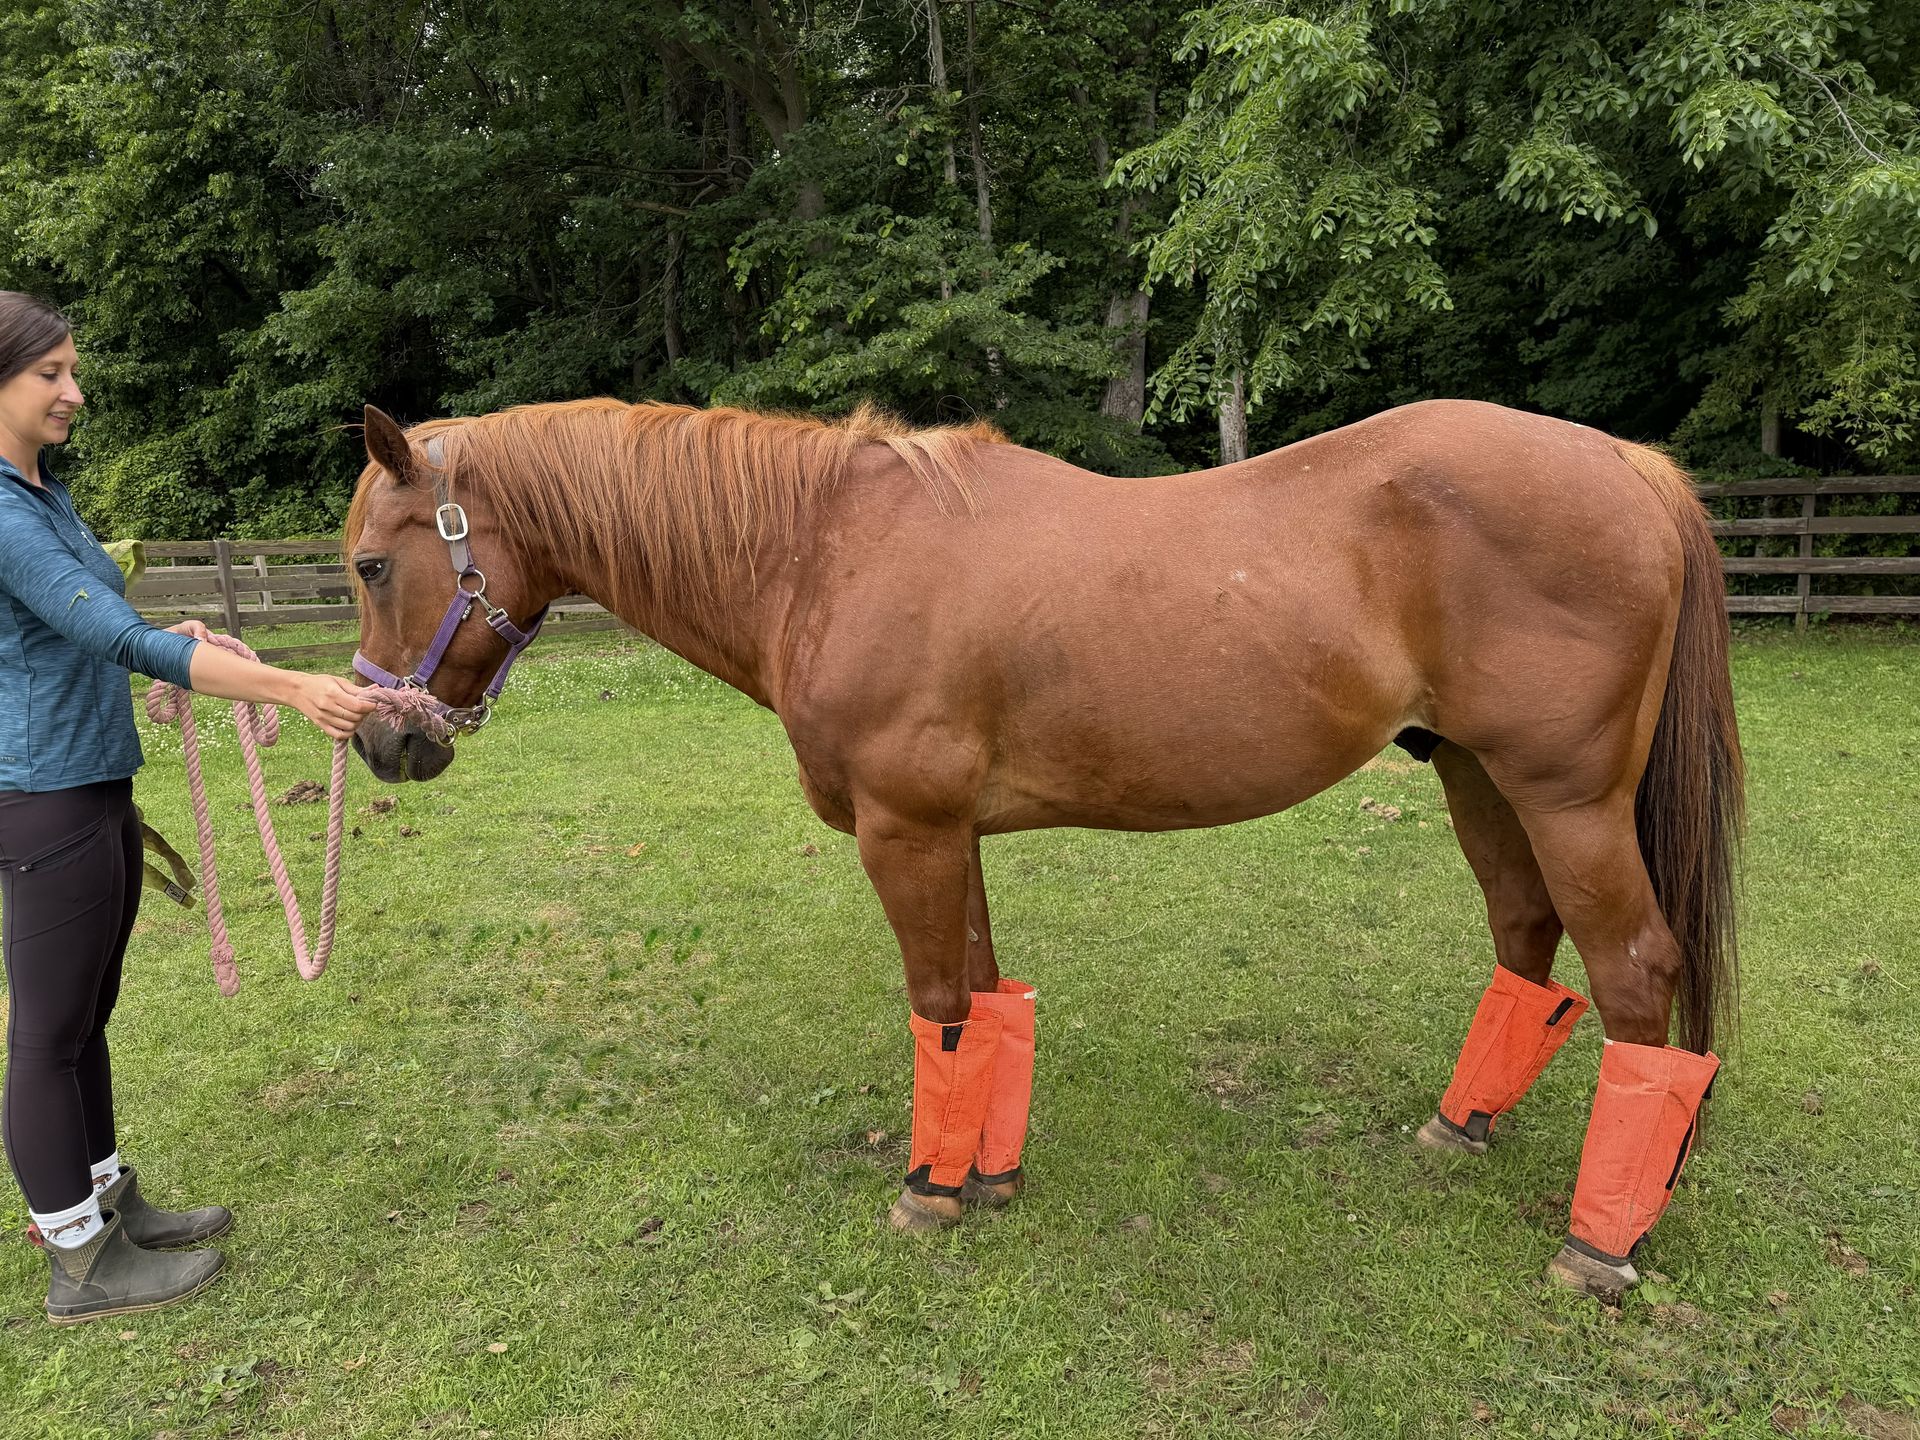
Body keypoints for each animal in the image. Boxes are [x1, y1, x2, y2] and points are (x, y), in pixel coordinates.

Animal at [344, 396, 1742, 1303]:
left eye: (367, 562)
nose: (386, 741)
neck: (825, 552)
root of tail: (1629, 466)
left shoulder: (905, 833)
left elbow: (936, 1005)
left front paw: (926, 1191)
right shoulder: (949, 833)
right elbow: (985, 1000)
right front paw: (989, 1180)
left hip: (1565, 795)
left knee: (1634, 972)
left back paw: (1601, 1246)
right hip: (1474, 775)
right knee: (1527, 940)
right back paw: (1463, 1132)